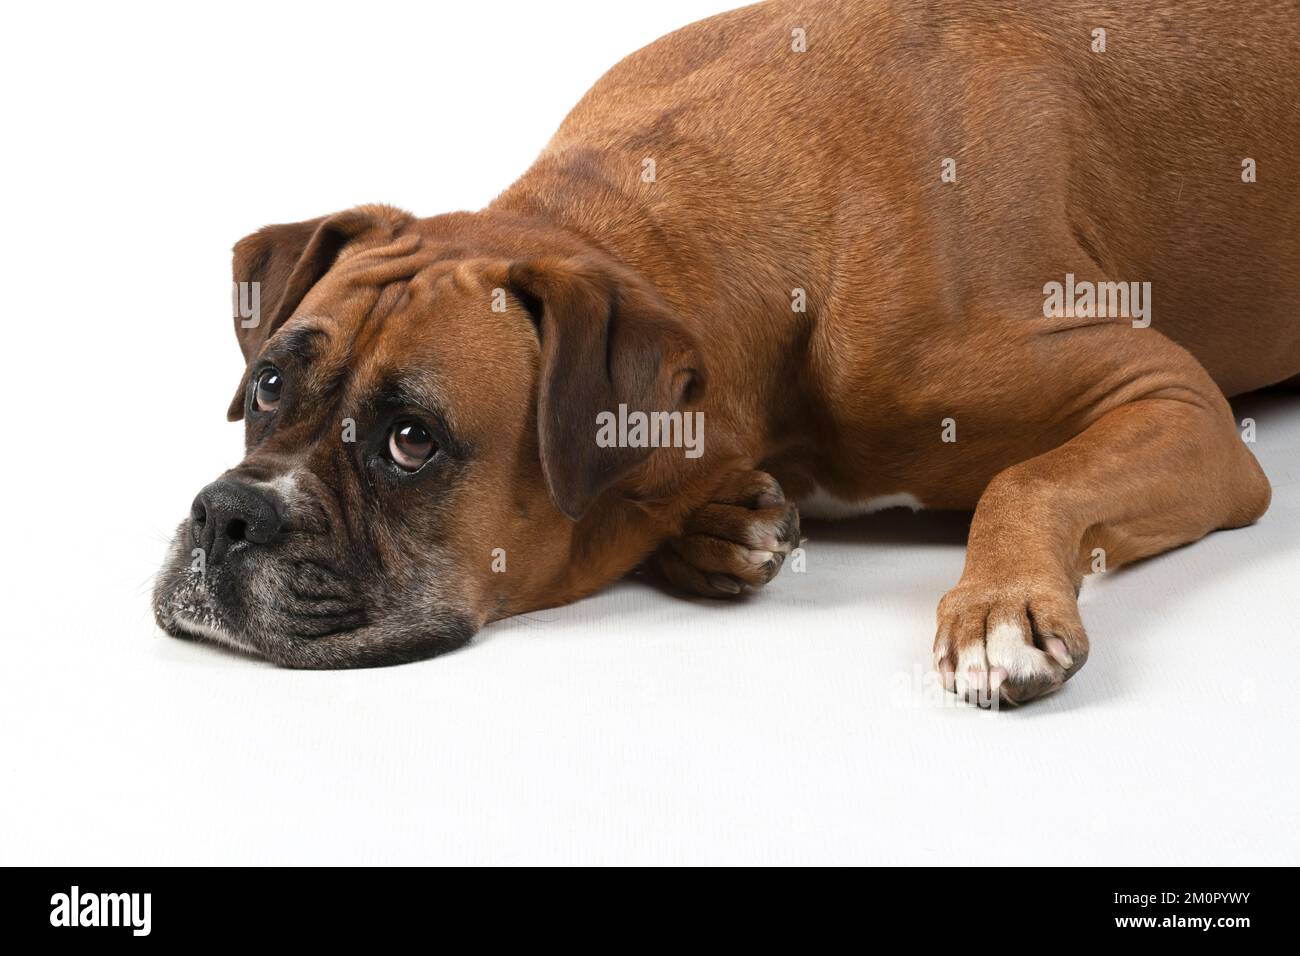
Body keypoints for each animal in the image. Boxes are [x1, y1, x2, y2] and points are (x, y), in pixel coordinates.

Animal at [154, 0, 1300, 702]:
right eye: (268, 383)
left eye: (410, 440)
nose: (225, 514)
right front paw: (721, 521)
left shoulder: (1175, 399)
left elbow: (1030, 478)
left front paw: (996, 609)